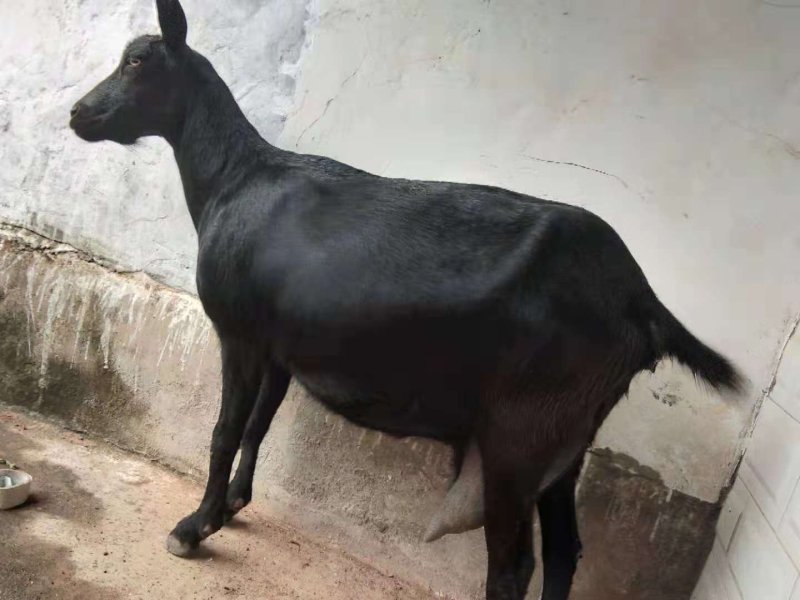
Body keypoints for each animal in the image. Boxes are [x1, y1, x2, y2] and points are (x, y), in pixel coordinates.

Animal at [69, 1, 742, 598]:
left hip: (521, 436)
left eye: (137, 61)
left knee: (513, 567)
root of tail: (640, 301)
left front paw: (194, 526)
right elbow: (259, 424)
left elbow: (225, 430)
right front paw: (234, 505)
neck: (235, 178)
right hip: (566, 443)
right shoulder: (283, 345)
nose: (78, 114)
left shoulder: (240, 333)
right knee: (564, 553)